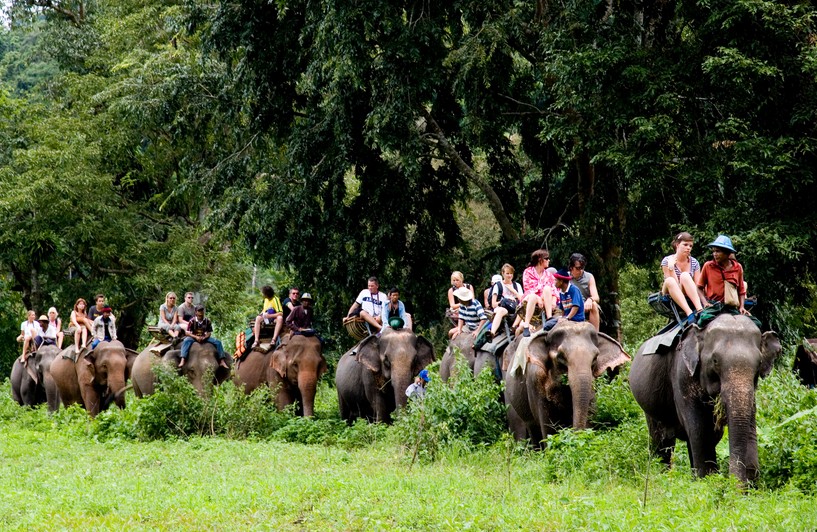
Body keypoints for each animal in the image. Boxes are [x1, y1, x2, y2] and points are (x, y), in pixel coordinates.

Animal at [629, 314, 781, 483]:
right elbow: (699, 429)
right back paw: (662, 475)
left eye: (759, 363)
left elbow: (748, 425)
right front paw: (708, 481)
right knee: (661, 441)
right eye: (715, 361)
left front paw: (749, 484)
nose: (735, 483)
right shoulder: (682, 376)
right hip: (650, 405)